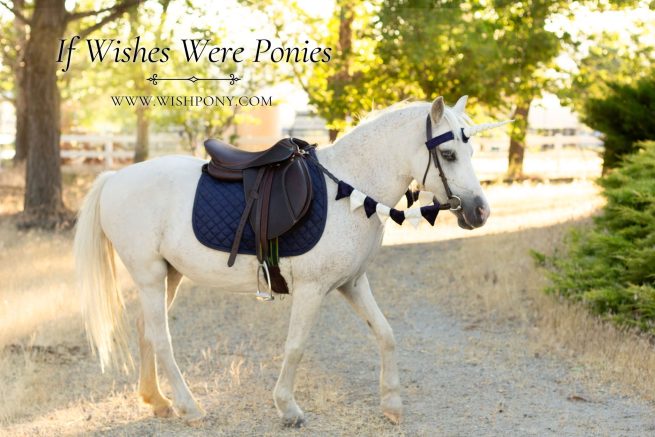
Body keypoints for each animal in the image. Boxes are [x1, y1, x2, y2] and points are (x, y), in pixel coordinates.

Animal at [74, 96, 508, 426]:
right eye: (448, 153)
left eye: (472, 150)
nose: (480, 212)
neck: (350, 190)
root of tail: (114, 178)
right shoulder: (313, 290)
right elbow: (296, 346)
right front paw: (288, 408)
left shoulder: (353, 283)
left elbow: (386, 334)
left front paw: (392, 404)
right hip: (149, 276)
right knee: (161, 338)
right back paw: (189, 406)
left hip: (170, 276)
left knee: (146, 330)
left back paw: (157, 400)